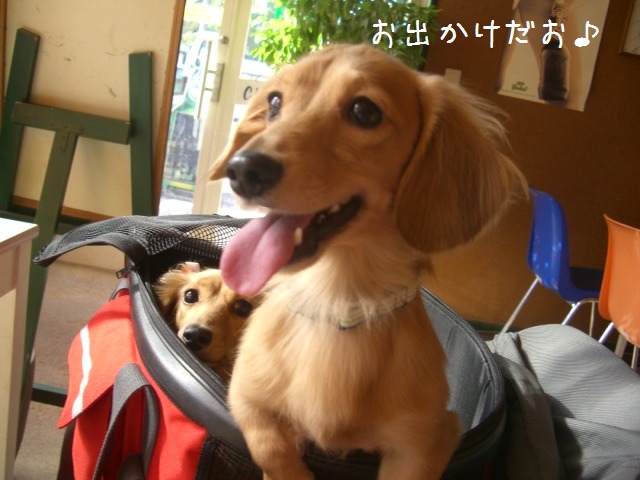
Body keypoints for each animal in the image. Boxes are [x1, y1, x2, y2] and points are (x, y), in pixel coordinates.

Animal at [209, 44, 527, 479]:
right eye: (274, 102)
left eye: (364, 111)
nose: (242, 169)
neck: (336, 298)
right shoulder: (244, 395)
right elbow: (271, 449)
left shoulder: (428, 437)